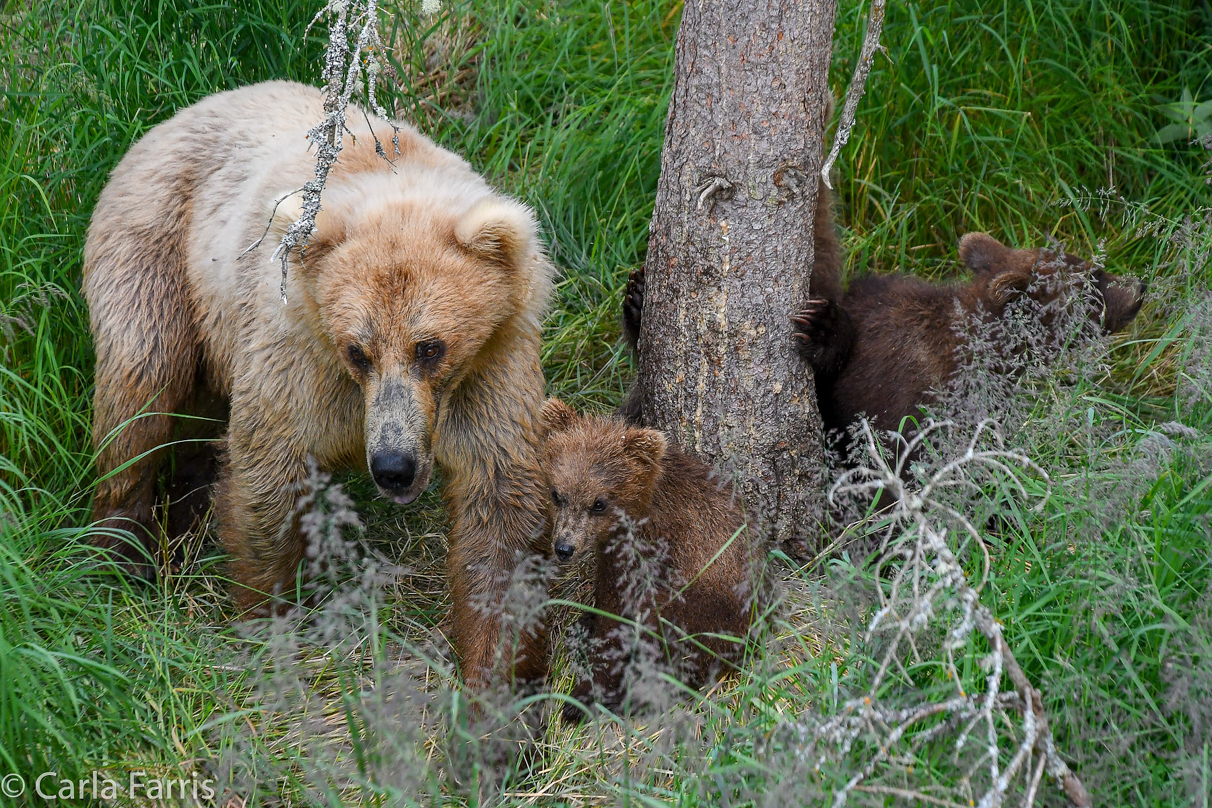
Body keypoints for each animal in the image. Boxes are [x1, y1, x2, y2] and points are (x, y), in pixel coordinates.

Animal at [84, 80, 555, 688]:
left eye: (430, 347)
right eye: (359, 350)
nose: (393, 466)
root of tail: (177, 115)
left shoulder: (491, 366)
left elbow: (500, 504)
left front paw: (496, 676)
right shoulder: (299, 355)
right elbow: (269, 472)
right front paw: (267, 614)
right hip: (156, 252)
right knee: (139, 391)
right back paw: (119, 553)